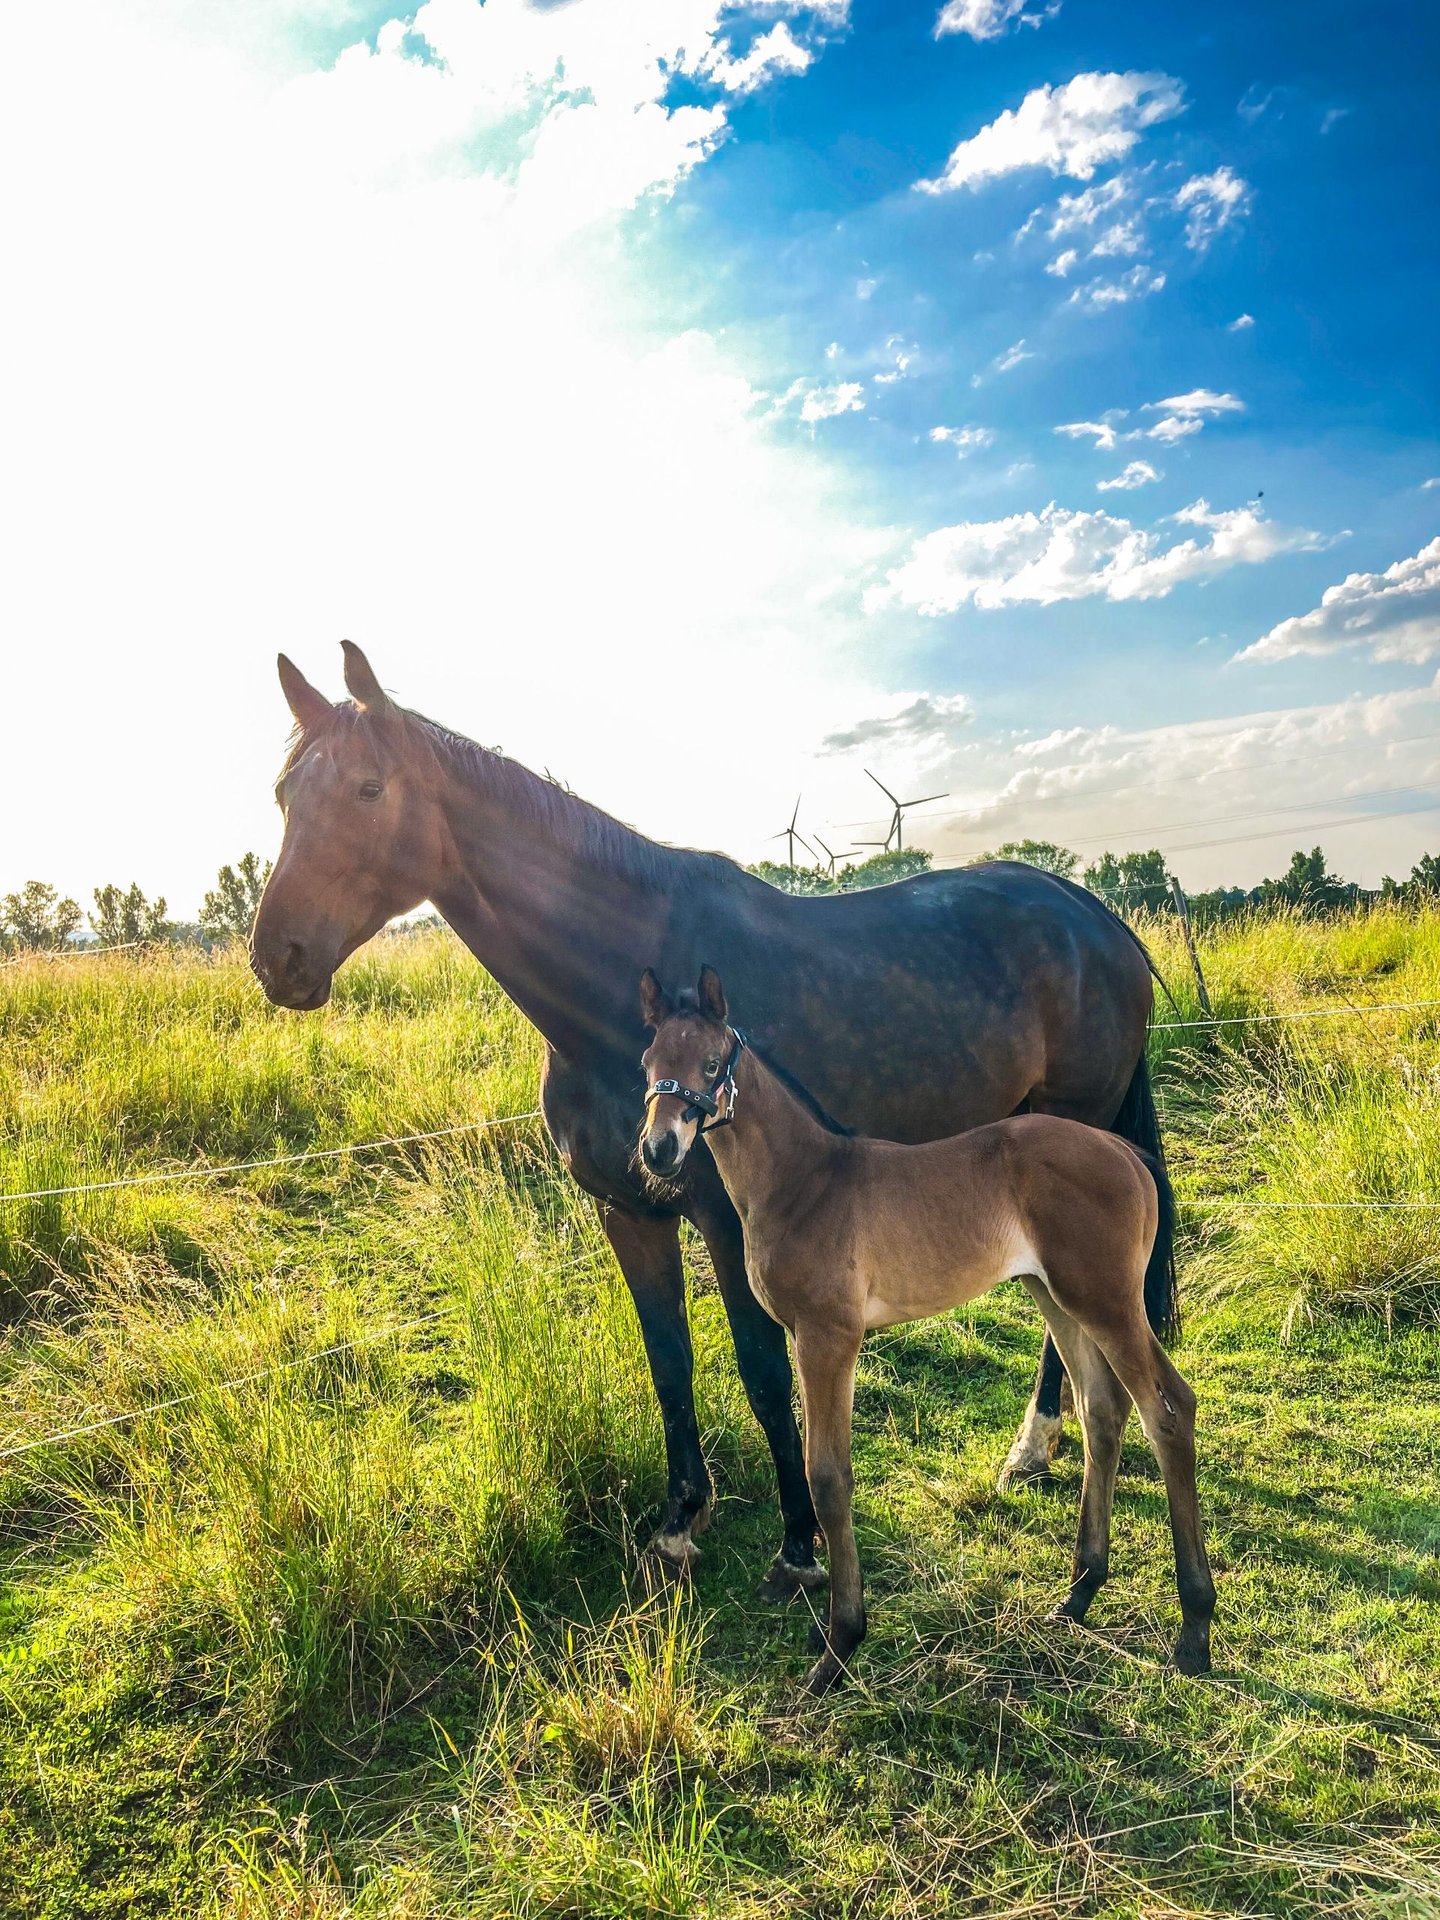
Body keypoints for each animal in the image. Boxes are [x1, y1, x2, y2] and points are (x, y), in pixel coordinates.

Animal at [247, 641, 1175, 1589]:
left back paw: (1033, 1445)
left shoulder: (732, 1221)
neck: (617, 1001)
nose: (277, 959)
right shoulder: (629, 1213)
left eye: (368, 787)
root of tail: (1095, 916)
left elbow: (762, 1371)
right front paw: (679, 1519)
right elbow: (671, 1364)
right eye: (286, 796)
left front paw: (799, 1541)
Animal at [641, 967, 1221, 1689]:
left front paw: (839, 1645)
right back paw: (1080, 1590)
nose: (658, 1150)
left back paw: (1194, 1627)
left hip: (1108, 1301)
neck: (805, 1181)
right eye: (648, 1063)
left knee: (1167, 1409)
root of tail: (1122, 1148)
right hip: (1057, 1296)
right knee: (1101, 1410)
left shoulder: (828, 1337)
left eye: (713, 1063)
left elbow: (828, 1477)